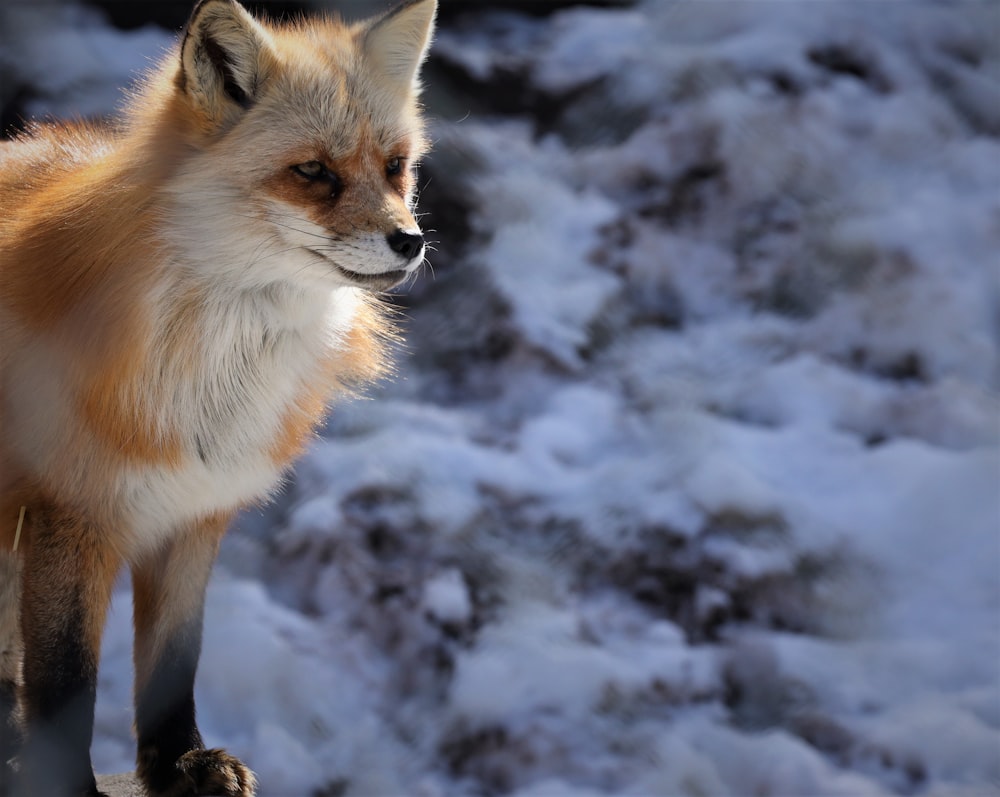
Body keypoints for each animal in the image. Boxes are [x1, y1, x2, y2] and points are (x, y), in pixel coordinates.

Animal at [0, 0, 438, 792]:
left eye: (395, 166)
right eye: (312, 172)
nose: (410, 241)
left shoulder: (196, 511)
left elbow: (174, 660)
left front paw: (178, 760)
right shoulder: (71, 514)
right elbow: (66, 681)